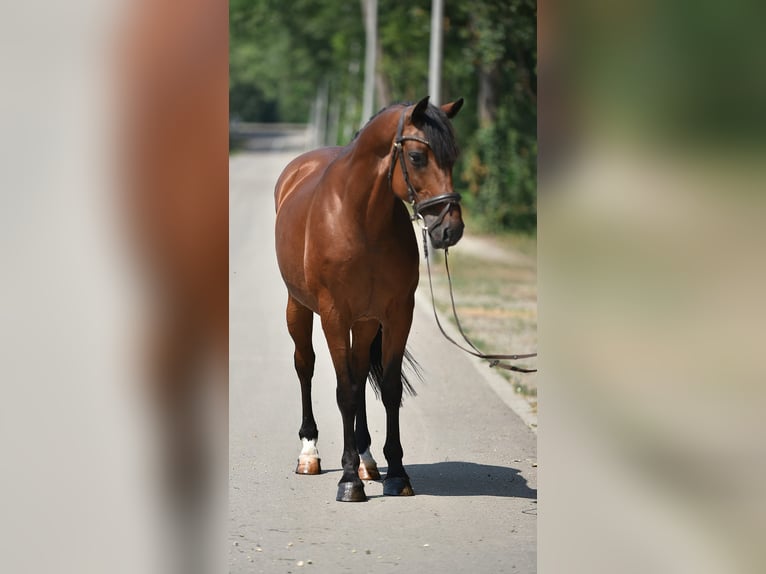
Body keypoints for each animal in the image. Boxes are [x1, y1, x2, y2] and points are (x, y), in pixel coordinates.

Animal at [274, 96, 465, 502]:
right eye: (417, 157)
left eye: (453, 157)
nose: (450, 228)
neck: (360, 218)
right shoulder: (333, 315)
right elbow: (344, 390)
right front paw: (348, 480)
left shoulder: (397, 314)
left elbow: (388, 389)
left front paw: (397, 474)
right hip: (299, 307)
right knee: (306, 365)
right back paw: (310, 453)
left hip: (364, 323)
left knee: (361, 373)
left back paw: (366, 458)